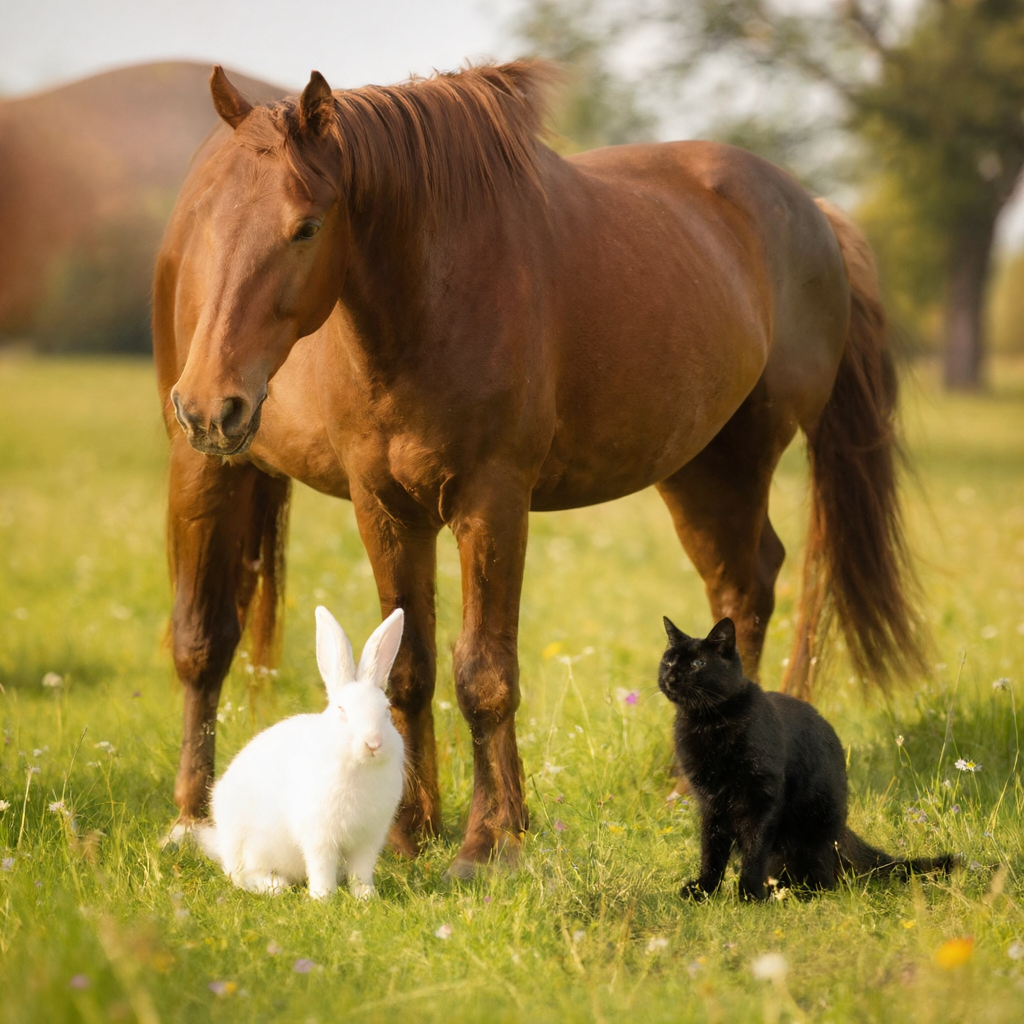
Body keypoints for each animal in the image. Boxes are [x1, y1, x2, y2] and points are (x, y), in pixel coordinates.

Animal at [194, 605, 406, 900]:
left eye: (387, 711)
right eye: (342, 711)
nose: (373, 743)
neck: (357, 767)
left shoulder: (367, 840)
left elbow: (361, 872)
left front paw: (366, 897)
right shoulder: (319, 836)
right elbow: (321, 867)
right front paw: (323, 898)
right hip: (247, 846)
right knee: (239, 876)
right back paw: (274, 886)